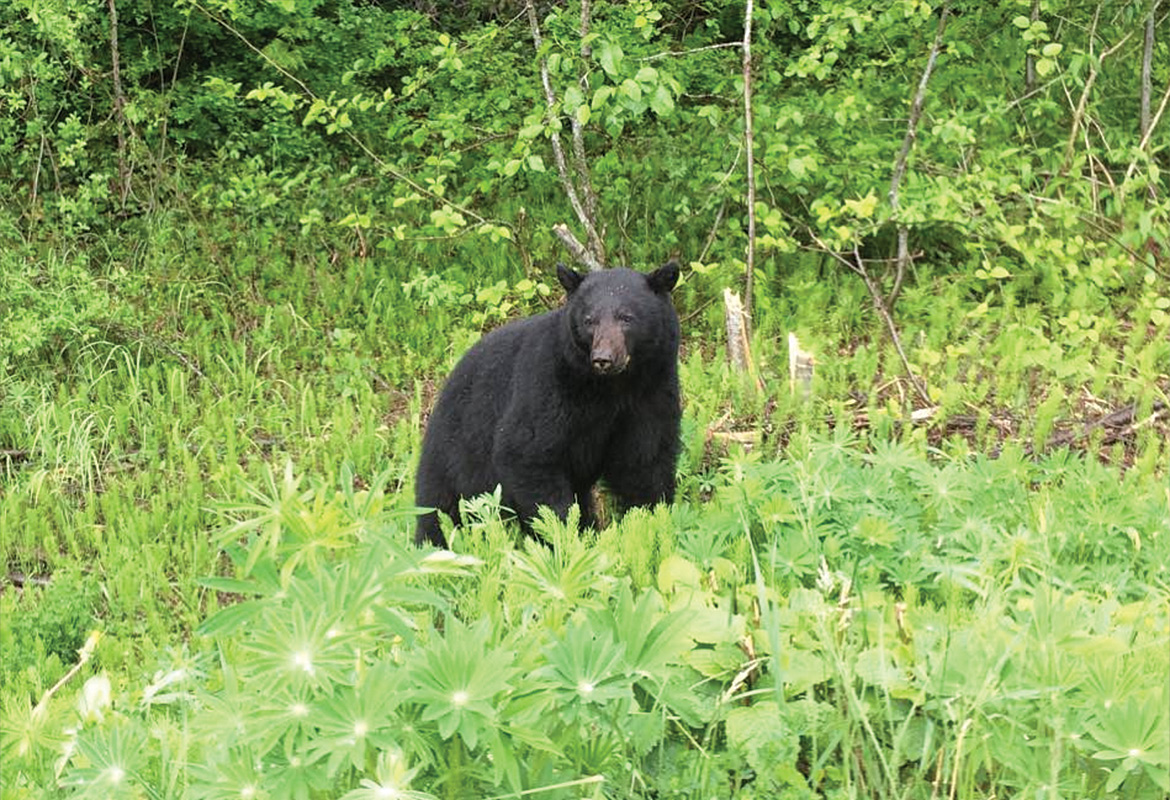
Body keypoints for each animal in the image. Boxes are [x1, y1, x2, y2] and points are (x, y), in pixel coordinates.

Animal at [414, 260, 682, 548]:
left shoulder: (650, 393)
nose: (603, 358)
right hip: (454, 457)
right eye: (589, 320)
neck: (612, 387)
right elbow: (527, 454)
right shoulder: (549, 383)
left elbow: (644, 460)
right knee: (438, 509)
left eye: (626, 317)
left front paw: (649, 524)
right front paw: (564, 537)